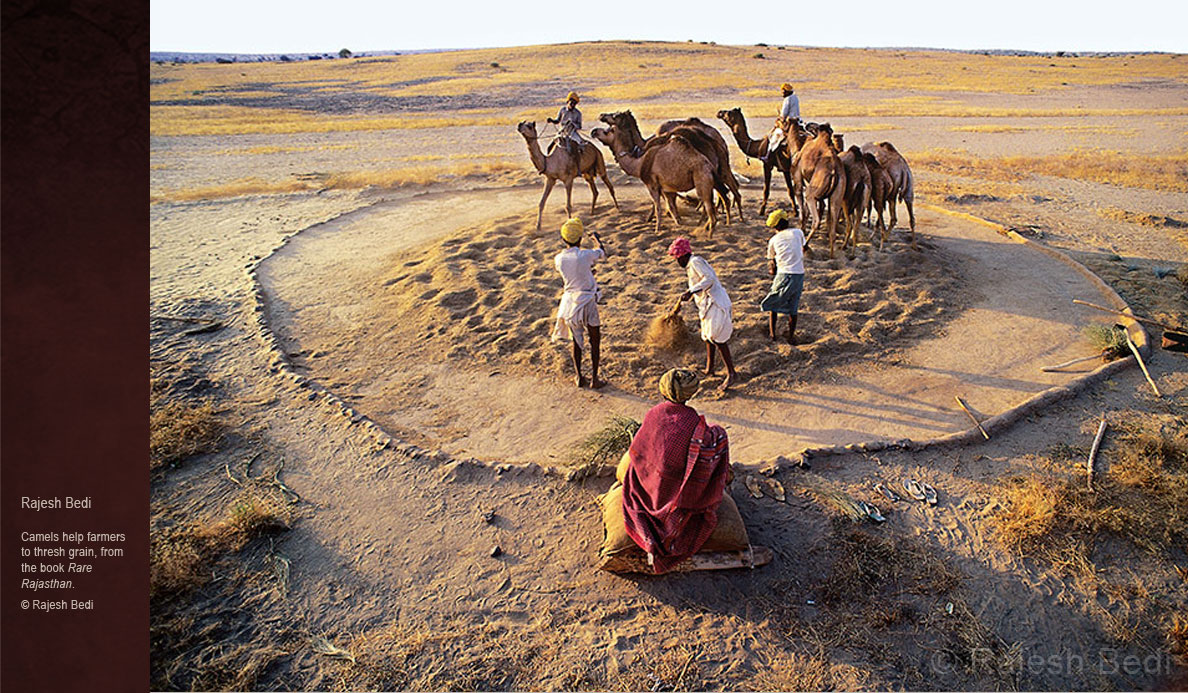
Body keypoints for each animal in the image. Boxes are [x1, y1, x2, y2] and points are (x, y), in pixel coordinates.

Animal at [589, 126, 717, 240]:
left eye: (608, 130)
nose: (593, 131)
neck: (639, 164)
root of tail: (710, 166)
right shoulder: (666, 188)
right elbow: (671, 208)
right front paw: (679, 224)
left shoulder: (652, 184)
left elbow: (658, 207)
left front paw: (657, 230)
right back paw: (703, 227)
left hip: (702, 178)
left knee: (710, 210)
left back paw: (709, 235)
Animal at [603, 111, 741, 222]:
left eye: (615, 116)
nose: (602, 115)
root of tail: (717, 141)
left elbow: (663, 196)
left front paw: (658, 216)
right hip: (720, 166)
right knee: (727, 188)